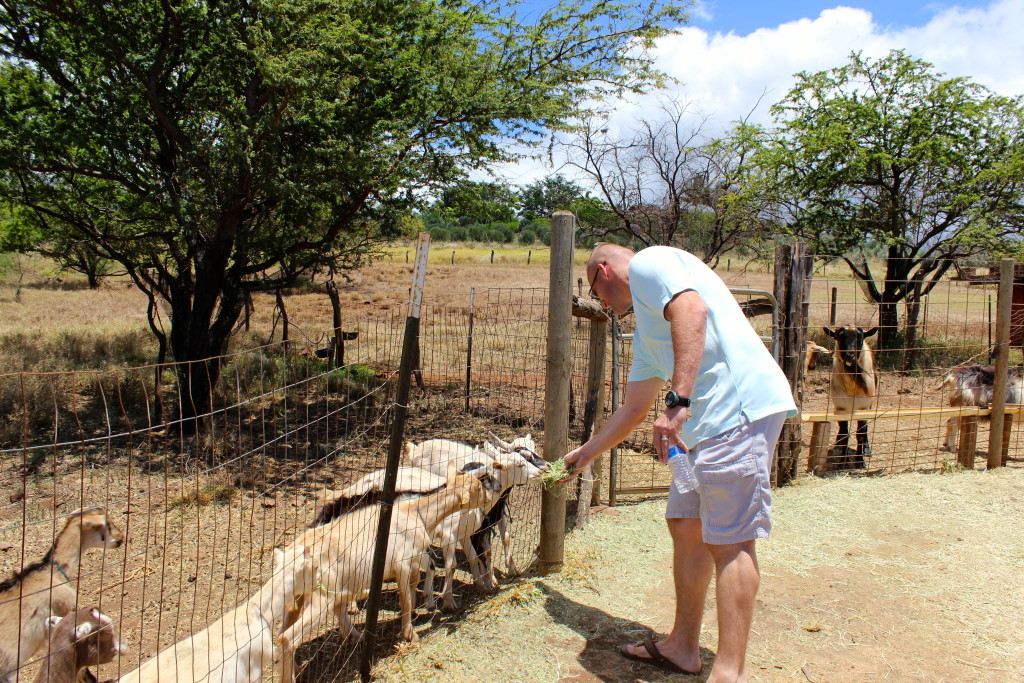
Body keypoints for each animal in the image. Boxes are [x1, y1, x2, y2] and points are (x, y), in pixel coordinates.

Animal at [276, 464, 503, 683]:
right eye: (478, 486)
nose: (489, 499)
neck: (417, 512)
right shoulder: (403, 564)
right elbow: (407, 598)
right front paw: (411, 633)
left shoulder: (413, 560)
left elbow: (417, 581)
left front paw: (422, 608)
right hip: (322, 595)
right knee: (290, 635)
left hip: (299, 596)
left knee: (283, 631)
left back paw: (303, 665)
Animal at [819, 327, 876, 471]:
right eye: (839, 338)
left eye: (860, 339)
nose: (849, 356)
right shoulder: (841, 407)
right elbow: (845, 435)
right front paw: (842, 462)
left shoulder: (863, 407)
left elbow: (860, 435)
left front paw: (860, 462)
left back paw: (866, 449)